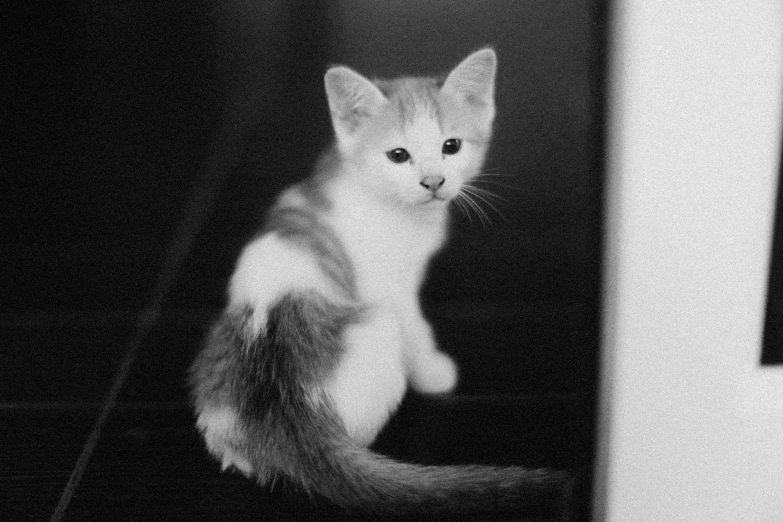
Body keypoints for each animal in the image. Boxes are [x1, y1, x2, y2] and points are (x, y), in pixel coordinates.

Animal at [187, 48, 572, 516]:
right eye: (398, 155)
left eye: (450, 146)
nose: (433, 181)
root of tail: (287, 410)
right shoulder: (393, 288)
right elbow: (416, 328)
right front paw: (434, 371)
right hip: (378, 336)